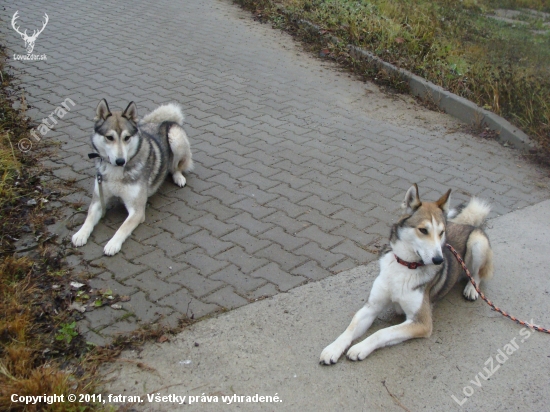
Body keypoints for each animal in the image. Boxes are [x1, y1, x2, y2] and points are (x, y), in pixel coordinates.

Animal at [72, 99, 194, 254]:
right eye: (109, 137)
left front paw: (113, 244)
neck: (116, 172)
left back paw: (179, 177)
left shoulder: (137, 210)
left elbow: (123, 227)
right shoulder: (98, 200)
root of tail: (164, 121)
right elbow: (89, 217)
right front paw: (80, 234)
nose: (120, 161)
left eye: (127, 138)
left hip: (175, 138)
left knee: (176, 167)